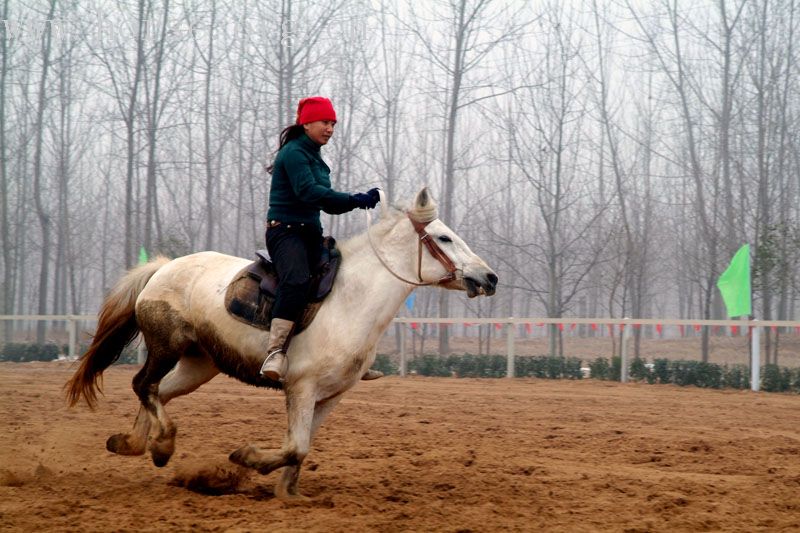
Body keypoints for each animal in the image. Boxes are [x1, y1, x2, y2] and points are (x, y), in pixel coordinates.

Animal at [65, 188, 496, 498]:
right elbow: (295, 446)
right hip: (166, 346)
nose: (489, 277)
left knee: (159, 390)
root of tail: (163, 268)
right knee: (144, 385)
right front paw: (248, 458)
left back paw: (138, 444)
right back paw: (162, 444)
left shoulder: (330, 395)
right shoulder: (301, 388)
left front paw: (288, 493)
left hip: (198, 364)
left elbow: (300, 446)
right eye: (444, 237)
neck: (352, 300)